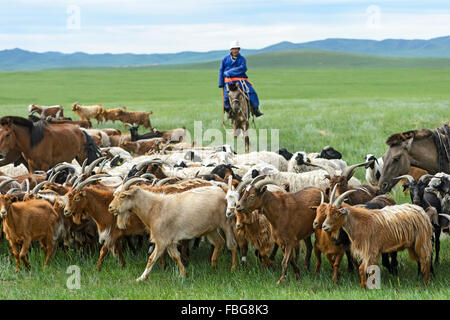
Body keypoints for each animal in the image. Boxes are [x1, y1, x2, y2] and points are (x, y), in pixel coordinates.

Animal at [108, 181, 237, 282]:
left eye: (122, 196)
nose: (110, 207)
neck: (155, 208)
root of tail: (222, 192)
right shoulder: (169, 241)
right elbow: (176, 256)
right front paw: (183, 274)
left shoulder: (161, 241)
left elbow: (151, 258)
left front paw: (141, 278)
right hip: (211, 228)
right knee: (219, 242)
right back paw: (213, 266)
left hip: (226, 222)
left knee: (232, 245)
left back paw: (233, 268)